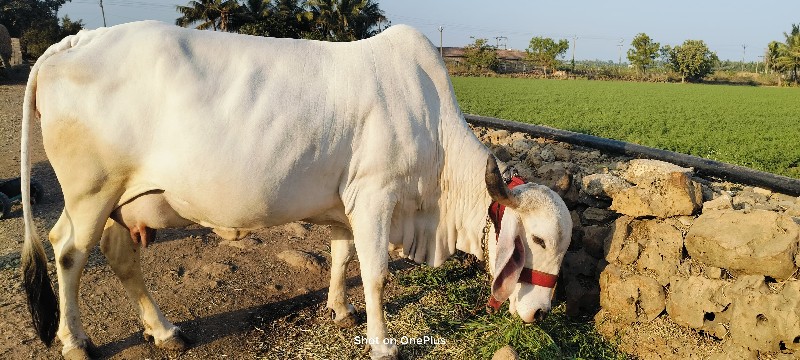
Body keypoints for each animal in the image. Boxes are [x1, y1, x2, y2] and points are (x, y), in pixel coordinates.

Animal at [21, 22, 572, 360]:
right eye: (539, 240)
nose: (541, 313)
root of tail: (75, 41)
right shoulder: (375, 196)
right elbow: (375, 274)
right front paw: (382, 343)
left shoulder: (347, 203)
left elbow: (341, 255)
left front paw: (339, 309)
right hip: (91, 192)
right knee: (69, 251)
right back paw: (76, 341)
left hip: (121, 200)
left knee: (118, 256)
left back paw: (164, 331)